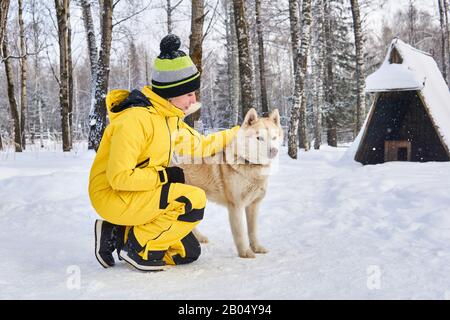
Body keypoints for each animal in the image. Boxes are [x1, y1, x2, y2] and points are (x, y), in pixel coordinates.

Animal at [178, 109, 284, 258]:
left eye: (274, 138)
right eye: (259, 138)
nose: (274, 151)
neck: (250, 166)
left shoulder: (254, 205)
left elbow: (253, 231)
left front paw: (256, 248)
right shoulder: (236, 206)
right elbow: (240, 233)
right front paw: (245, 252)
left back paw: (200, 238)